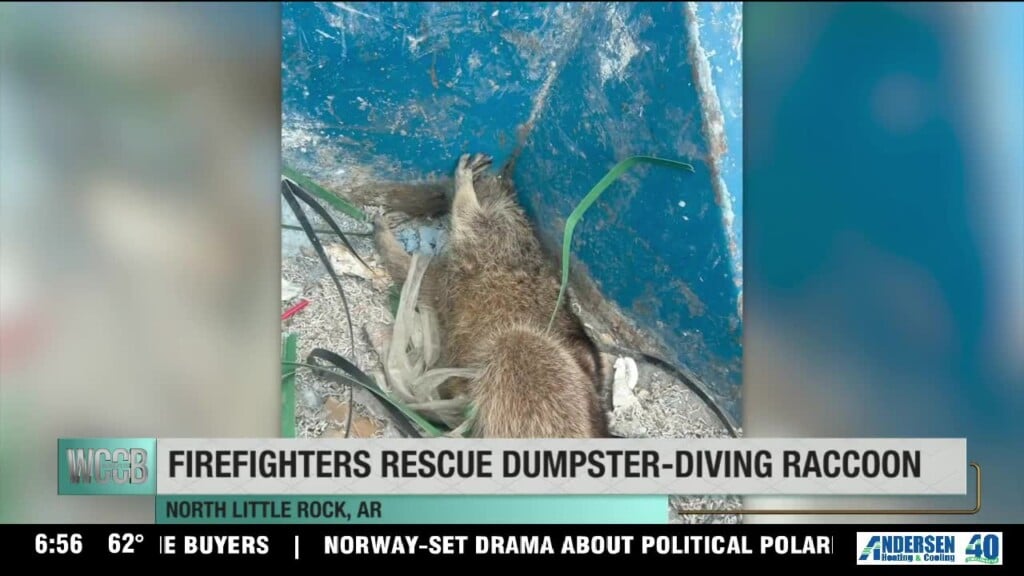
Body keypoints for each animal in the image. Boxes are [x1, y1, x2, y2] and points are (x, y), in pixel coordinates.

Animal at [371, 153, 609, 438]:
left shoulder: (496, 241)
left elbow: (470, 219)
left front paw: (463, 188)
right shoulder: (446, 283)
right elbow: (417, 276)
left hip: (547, 383)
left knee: (516, 344)